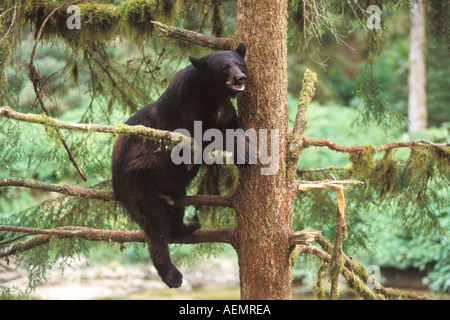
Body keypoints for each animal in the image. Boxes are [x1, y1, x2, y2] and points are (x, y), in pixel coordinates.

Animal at [112, 42, 251, 288]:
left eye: (239, 63)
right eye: (224, 67)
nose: (241, 78)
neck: (211, 94)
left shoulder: (224, 109)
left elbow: (235, 127)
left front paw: (247, 151)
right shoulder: (188, 111)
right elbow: (209, 134)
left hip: (173, 188)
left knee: (176, 210)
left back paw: (187, 226)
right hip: (138, 185)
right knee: (156, 229)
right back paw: (171, 274)